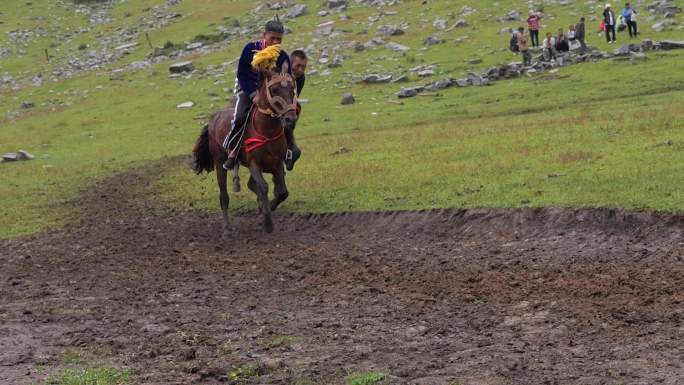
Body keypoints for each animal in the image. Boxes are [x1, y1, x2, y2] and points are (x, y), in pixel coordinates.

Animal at [194, 63, 298, 231]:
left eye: (292, 88)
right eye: (274, 89)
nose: (290, 118)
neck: (266, 130)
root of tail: (213, 118)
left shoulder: (276, 164)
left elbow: (282, 192)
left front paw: (268, 207)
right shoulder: (254, 164)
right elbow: (263, 187)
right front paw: (267, 222)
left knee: (250, 185)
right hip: (219, 162)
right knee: (224, 195)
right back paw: (227, 228)